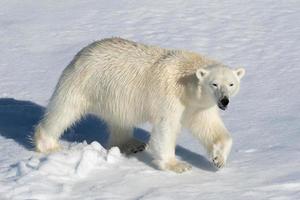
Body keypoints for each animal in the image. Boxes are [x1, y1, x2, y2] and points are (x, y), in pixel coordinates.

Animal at [34, 38, 245, 173]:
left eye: (231, 84)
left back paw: (131, 144)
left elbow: (208, 126)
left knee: (120, 121)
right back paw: (48, 144)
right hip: (84, 83)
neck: (186, 82)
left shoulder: (196, 105)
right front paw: (177, 165)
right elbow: (166, 128)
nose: (224, 101)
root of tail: (81, 53)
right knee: (64, 110)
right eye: (214, 84)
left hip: (114, 96)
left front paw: (218, 160)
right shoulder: (169, 96)